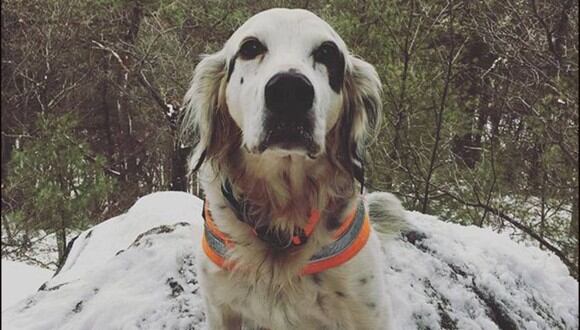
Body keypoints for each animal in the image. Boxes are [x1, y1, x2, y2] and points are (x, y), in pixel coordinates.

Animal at [184, 8, 406, 330]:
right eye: (251, 47)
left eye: (327, 52)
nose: (289, 91)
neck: (282, 216)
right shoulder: (220, 308)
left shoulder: (368, 312)